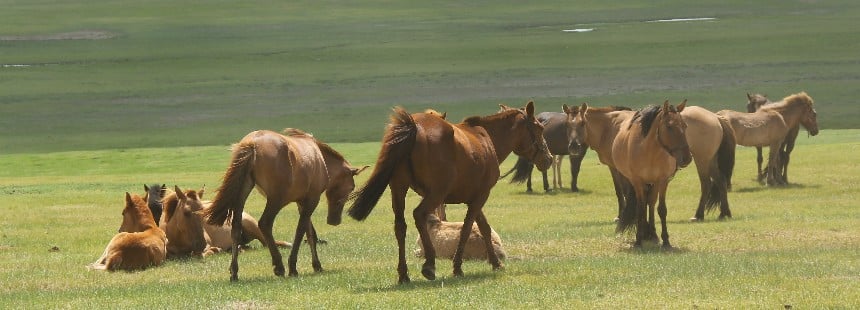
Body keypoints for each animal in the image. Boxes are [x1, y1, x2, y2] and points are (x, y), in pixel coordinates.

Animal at [202, 128, 366, 280]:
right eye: (352, 187)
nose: (334, 220)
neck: (320, 159)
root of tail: (252, 144)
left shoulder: (302, 203)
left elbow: (310, 233)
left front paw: (317, 265)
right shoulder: (312, 200)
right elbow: (301, 232)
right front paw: (293, 266)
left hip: (243, 193)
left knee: (236, 227)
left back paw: (234, 272)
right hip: (276, 199)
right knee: (265, 224)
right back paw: (279, 266)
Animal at [344, 101, 552, 284]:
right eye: (540, 128)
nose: (548, 159)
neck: (487, 140)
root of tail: (414, 126)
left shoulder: (474, 197)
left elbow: (483, 227)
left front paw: (495, 262)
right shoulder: (480, 196)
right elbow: (467, 228)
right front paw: (457, 267)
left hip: (398, 188)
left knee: (400, 226)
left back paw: (404, 274)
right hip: (436, 192)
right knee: (419, 214)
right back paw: (429, 264)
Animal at [612, 100, 692, 248]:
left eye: (685, 126)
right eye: (669, 126)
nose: (687, 158)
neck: (650, 151)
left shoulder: (663, 181)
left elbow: (661, 209)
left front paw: (666, 241)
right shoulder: (637, 181)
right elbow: (640, 208)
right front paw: (638, 240)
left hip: (653, 184)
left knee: (651, 203)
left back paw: (652, 234)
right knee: (643, 204)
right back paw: (645, 234)